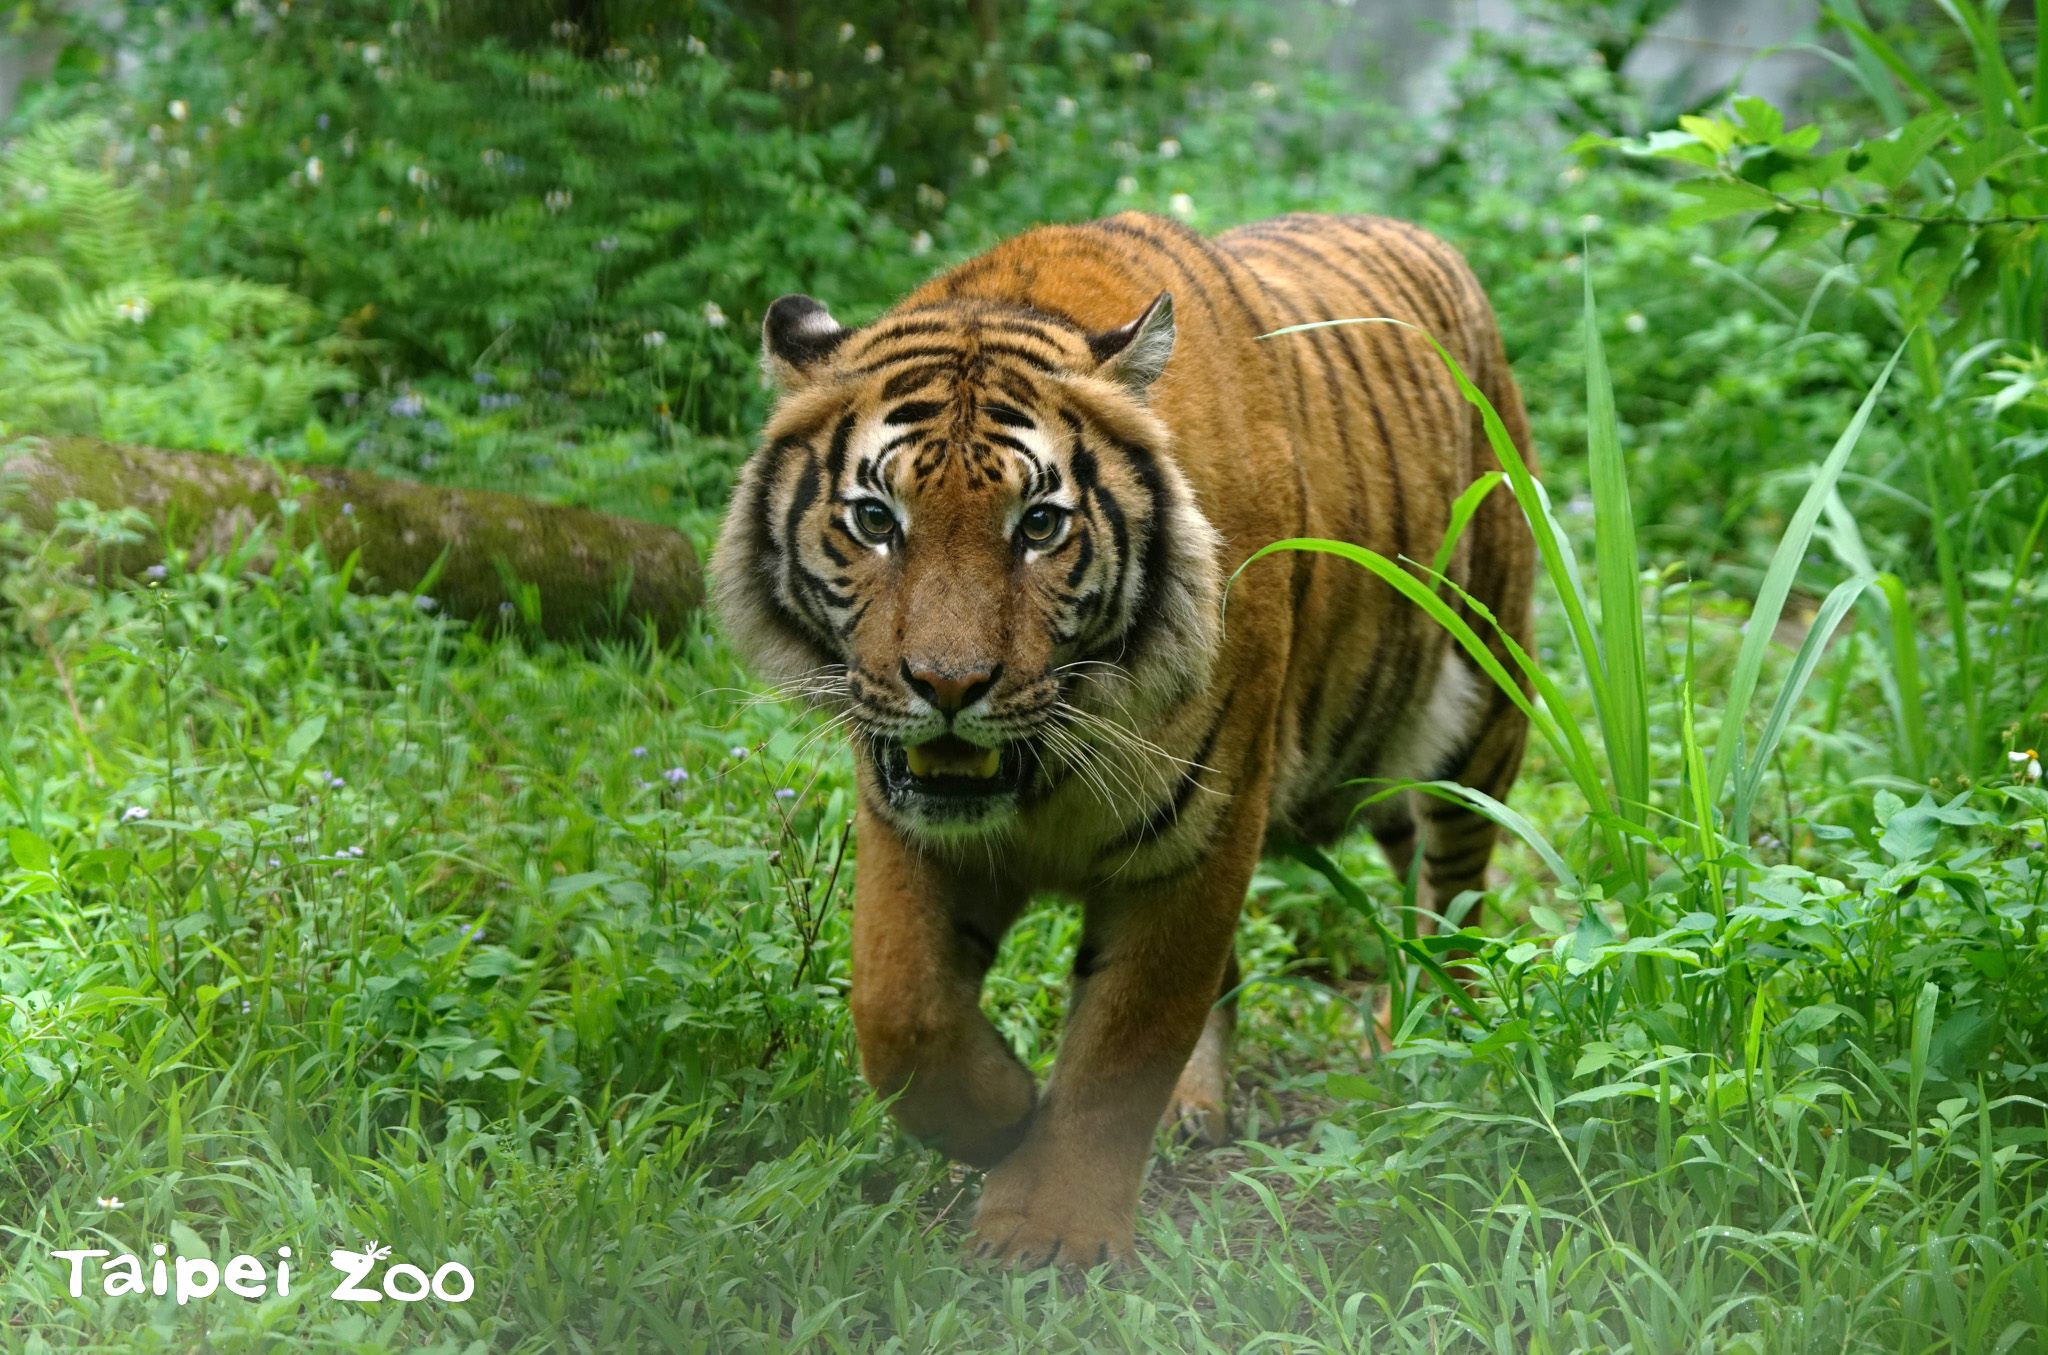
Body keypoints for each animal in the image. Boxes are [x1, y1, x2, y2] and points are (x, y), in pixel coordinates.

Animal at [711, 209, 1536, 1268]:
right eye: (874, 518)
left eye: (1038, 525)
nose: (948, 686)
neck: (1044, 769)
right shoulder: (908, 821)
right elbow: (898, 1010)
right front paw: (1004, 1114)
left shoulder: (1199, 833)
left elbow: (1126, 1037)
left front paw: (1048, 1230)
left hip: (1481, 707)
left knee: (1454, 895)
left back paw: (1436, 1043)